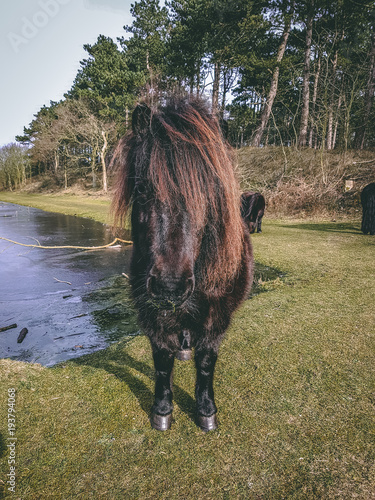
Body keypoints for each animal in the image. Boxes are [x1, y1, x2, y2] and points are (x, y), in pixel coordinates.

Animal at [111, 98, 253, 434]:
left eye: (208, 193)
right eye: (143, 189)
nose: (169, 287)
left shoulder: (217, 317)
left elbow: (206, 362)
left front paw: (206, 410)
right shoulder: (154, 315)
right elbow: (163, 361)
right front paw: (162, 410)